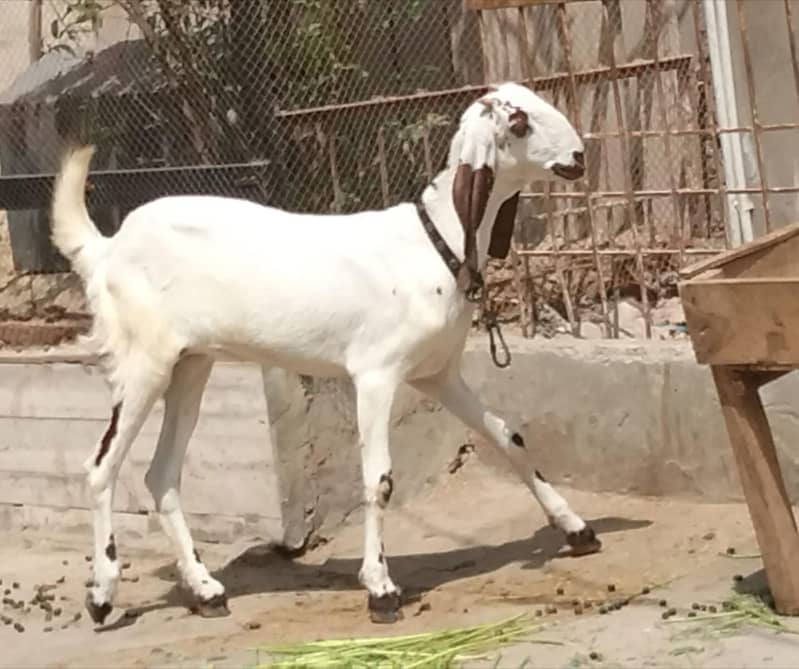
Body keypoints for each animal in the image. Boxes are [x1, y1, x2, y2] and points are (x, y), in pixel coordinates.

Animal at [51, 82, 599, 626]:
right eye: (519, 122)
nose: (578, 156)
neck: (434, 241)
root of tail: (107, 248)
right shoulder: (375, 375)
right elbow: (379, 479)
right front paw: (380, 589)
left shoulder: (437, 374)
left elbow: (509, 437)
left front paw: (577, 530)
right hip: (144, 360)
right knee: (101, 467)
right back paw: (102, 595)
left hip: (190, 364)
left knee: (161, 473)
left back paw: (206, 591)